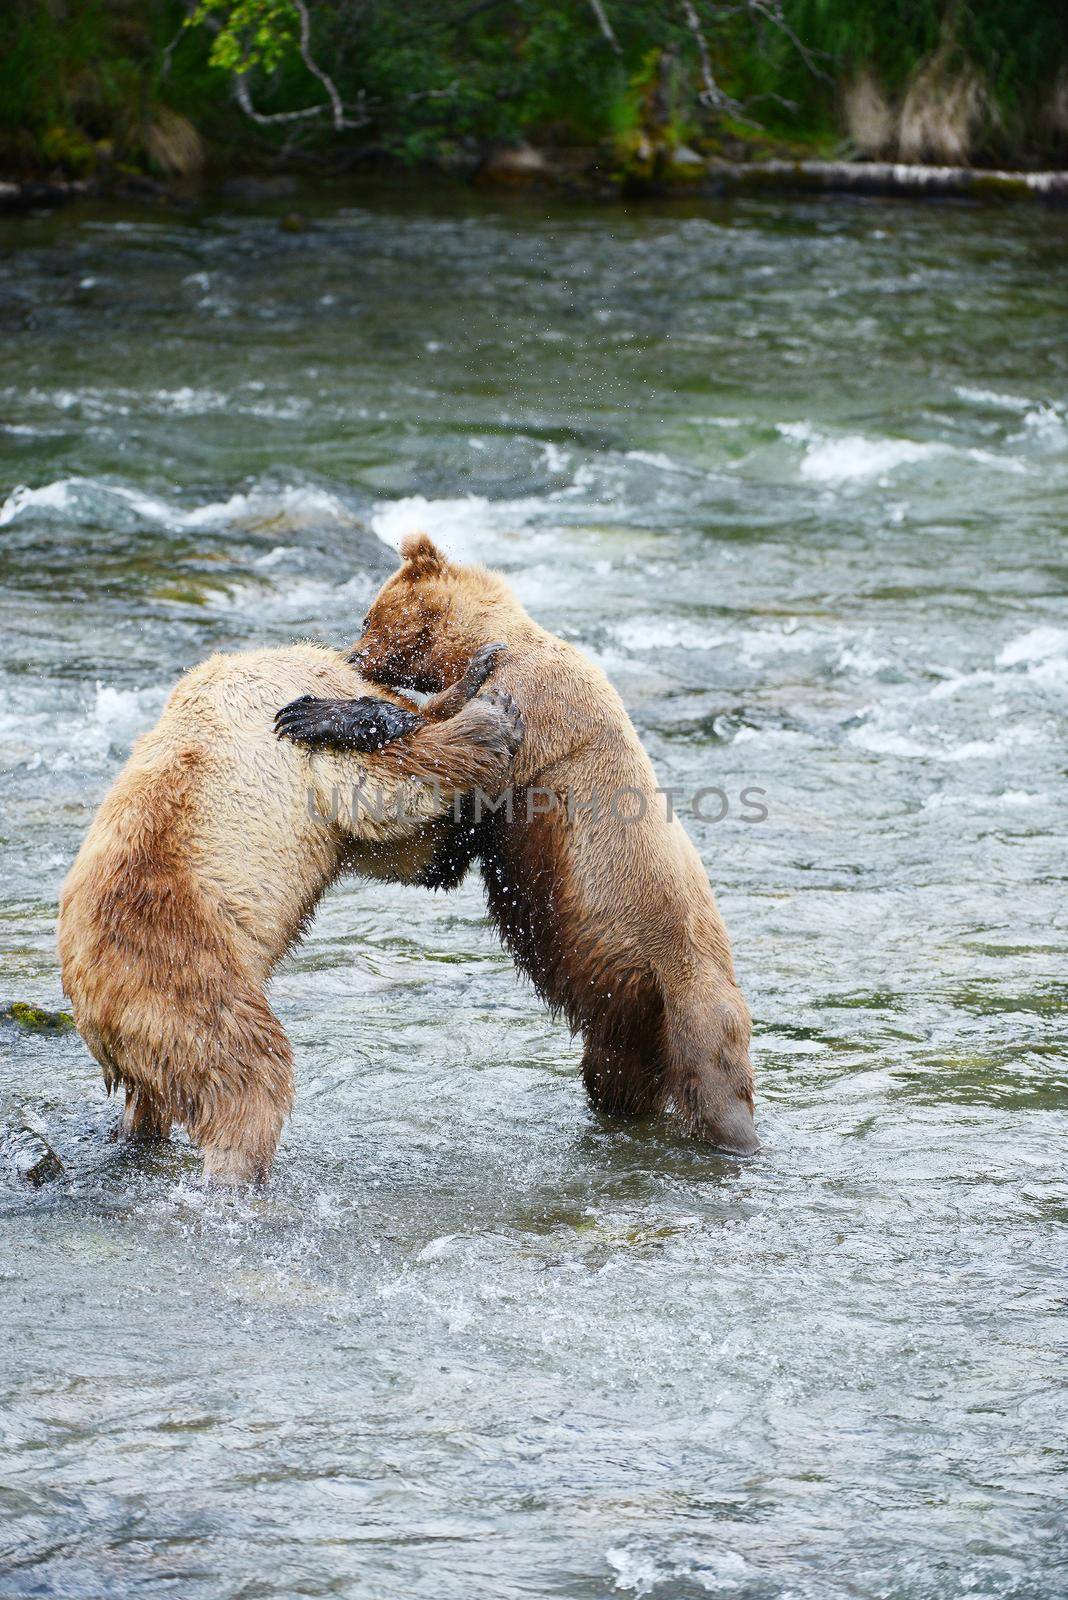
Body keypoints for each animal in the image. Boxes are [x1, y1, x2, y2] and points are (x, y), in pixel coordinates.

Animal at [58, 640, 521, 1190]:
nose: (453, 862)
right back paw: (237, 1173)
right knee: (247, 1071)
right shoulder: (300, 740)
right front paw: (488, 709)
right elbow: (381, 792)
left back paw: (134, 1137)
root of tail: (85, 996)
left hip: (146, 1027)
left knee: (152, 1097)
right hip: (177, 966)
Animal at [278, 537, 757, 1152]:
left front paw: (314, 711)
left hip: (692, 1003)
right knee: (614, 1082)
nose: (352, 656)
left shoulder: (534, 714)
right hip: (623, 1025)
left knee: (719, 1092)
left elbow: (449, 746)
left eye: (368, 615)